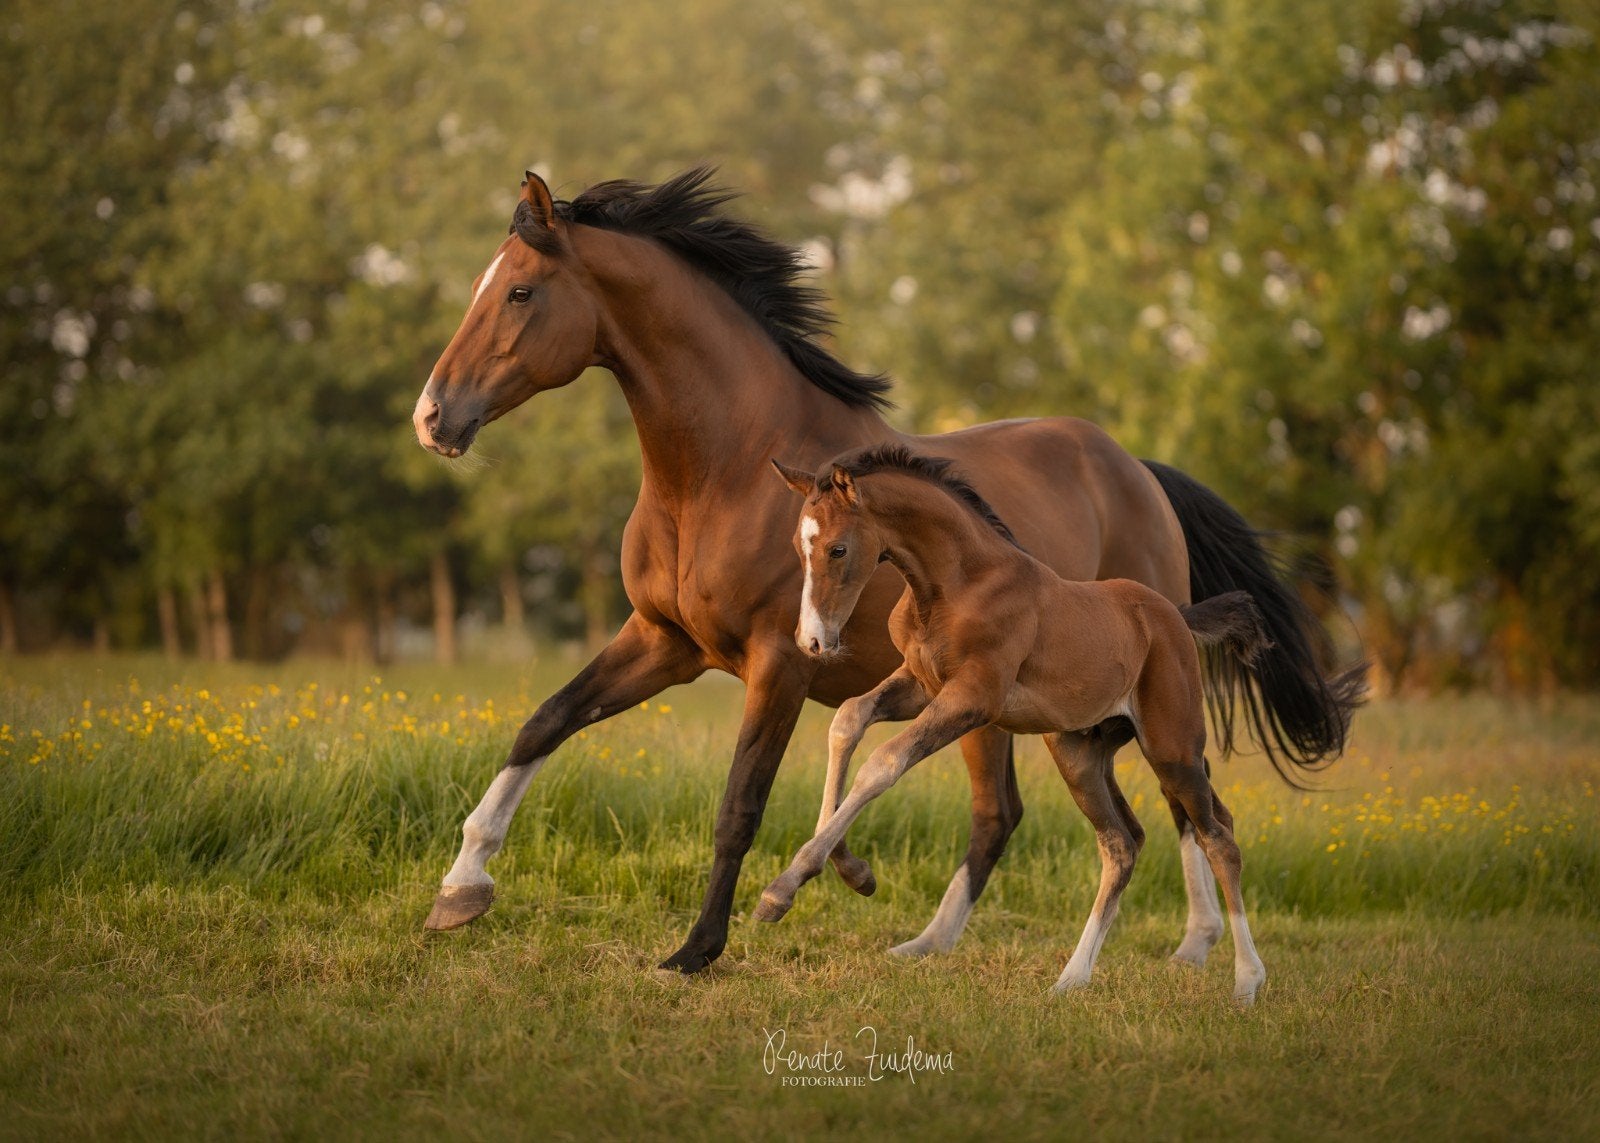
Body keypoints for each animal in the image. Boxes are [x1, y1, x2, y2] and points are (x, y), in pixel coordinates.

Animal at [755, 446, 1271, 1002]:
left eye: (838, 549)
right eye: (798, 547)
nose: (812, 641)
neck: (957, 585)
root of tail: (1176, 618)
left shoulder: (973, 698)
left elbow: (884, 762)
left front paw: (782, 888)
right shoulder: (921, 685)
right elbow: (848, 719)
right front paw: (848, 872)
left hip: (1172, 747)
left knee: (1217, 837)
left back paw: (1247, 980)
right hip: (1079, 753)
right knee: (1124, 843)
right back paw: (1071, 979)